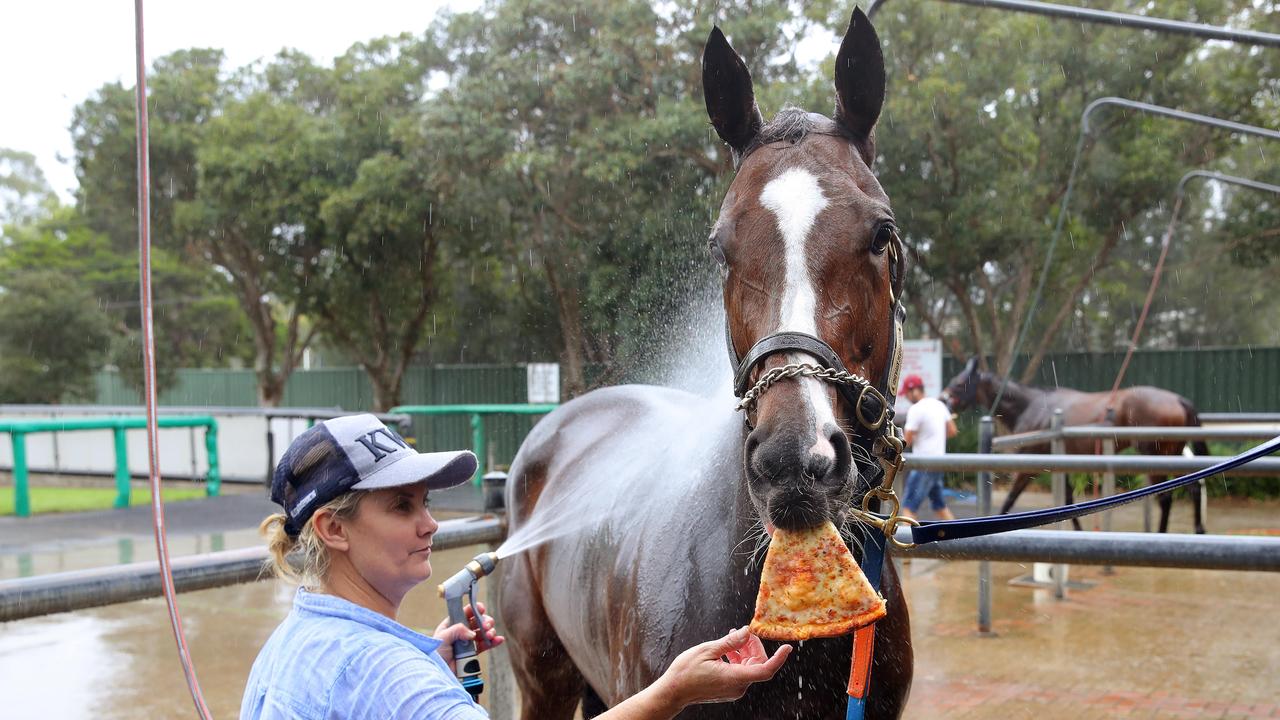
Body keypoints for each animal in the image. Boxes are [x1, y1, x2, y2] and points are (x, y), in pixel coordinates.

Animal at [947, 356, 1203, 532]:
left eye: (959, 383)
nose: (943, 400)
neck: (1032, 406)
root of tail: (1177, 399)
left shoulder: (1029, 465)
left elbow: (1009, 500)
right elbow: (1069, 502)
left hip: (1157, 457)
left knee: (1166, 497)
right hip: (1173, 455)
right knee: (1193, 488)